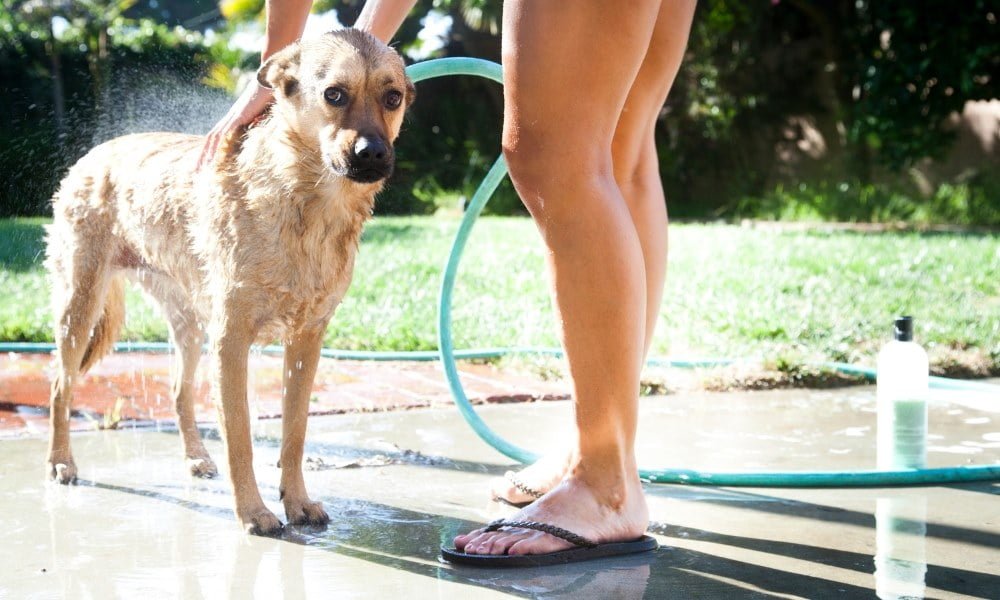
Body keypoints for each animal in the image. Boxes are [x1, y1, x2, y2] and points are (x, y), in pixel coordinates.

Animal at [44, 29, 414, 536]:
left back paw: (196, 458)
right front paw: (254, 512)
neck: (307, 203)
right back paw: (61, 462)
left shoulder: (306, 341)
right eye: (334, 94)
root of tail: (93, 154)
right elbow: (240, 437)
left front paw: (297, 501)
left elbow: (294, 433)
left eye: (392, 97)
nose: (373, 153)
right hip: (80, 307)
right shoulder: (231, 340)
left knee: (178, 391)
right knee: (60, 387)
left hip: (188, 324)